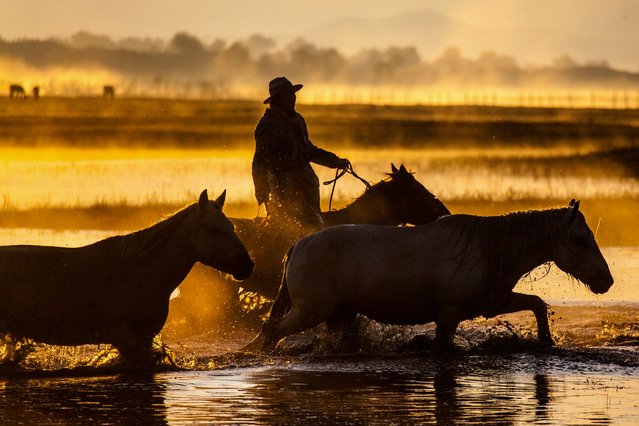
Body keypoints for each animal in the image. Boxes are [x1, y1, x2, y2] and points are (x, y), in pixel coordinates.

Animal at [0, 190, 255, 366]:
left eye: (231, 226)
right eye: (213, 229)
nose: (247, 265)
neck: (139, 271)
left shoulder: (144, 335)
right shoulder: (121, 335)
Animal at [246, 201, 616, 352]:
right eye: (580, 239)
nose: (606, 281)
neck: (490, 249)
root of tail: (297, 245)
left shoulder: (492, 302)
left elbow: (537, 304)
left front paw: (546, 341)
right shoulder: (449, 315)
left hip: (339, 313)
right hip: (309, 311)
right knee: (270, 332)